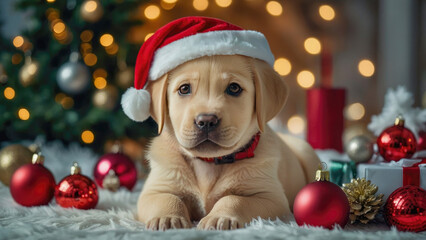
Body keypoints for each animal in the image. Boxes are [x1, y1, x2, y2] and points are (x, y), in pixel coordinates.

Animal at [136, 54, 320, 231]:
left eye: (234, 88)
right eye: (184, 89)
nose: (206, 121)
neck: (209, 163)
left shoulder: (272, 198)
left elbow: (233, 199)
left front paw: (220, 217)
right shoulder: (153, 191)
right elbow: (167, 198)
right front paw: (167, 218)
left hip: (307, 154)